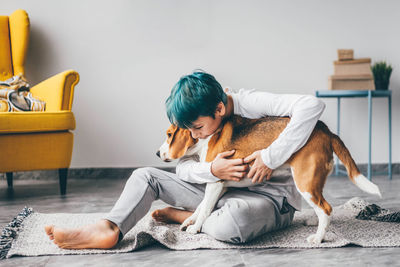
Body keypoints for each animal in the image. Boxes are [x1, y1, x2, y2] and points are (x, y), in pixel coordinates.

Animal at [156, 115, 382, 245]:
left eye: (169, 134)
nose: (157, 153)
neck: (205, 139)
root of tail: (325, 130)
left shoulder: (215, 183)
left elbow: (204, 209)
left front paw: (195, 228)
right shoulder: (220, 185)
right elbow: (202, 206)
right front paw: (190, 220)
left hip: (305, 181)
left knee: (326, 208)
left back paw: (318, 238)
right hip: (313, 181)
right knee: (324, 208)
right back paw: (314, 223)